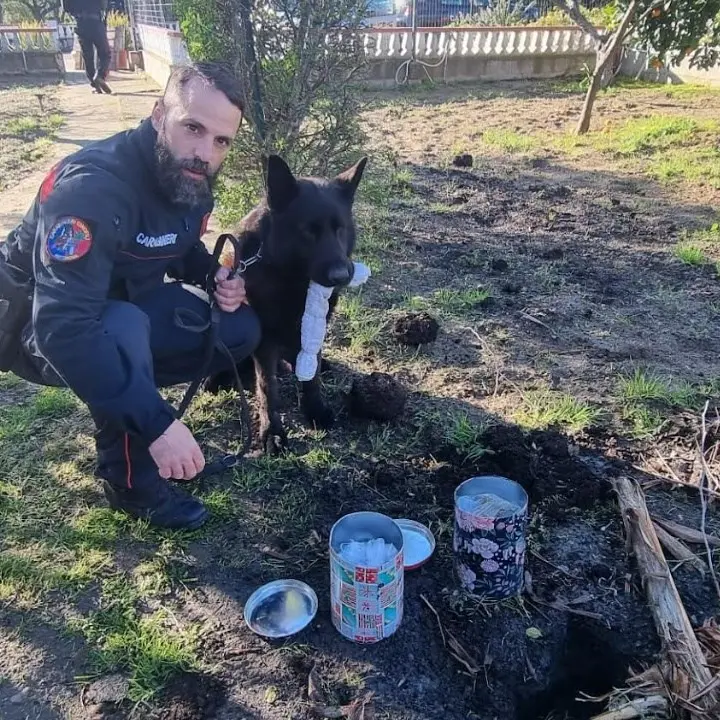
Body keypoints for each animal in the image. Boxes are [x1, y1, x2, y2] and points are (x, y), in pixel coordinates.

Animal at [205, 154, 368, 452]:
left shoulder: (314, 327)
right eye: (308, 231)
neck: (291, 278)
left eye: (340, 229)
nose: (341, 276)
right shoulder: (266, 340)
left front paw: (315, 409)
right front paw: (273, 431)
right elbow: (267, 387)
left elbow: (311, 375)